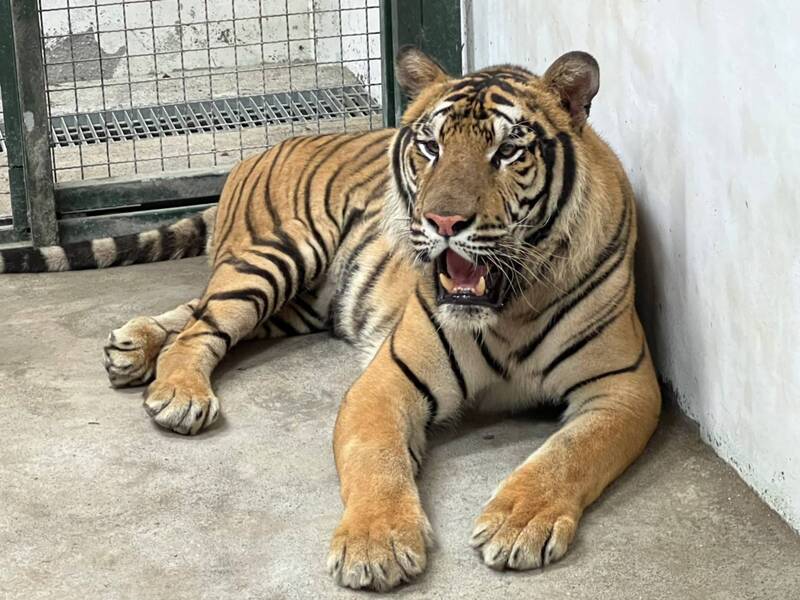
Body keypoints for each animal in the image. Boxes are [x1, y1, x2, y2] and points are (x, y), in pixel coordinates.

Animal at [0, 47, 661, 591]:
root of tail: (257, 152)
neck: (506, 307)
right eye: (431, 147)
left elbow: (571, 452)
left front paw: (518, 522)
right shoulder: (389, 378)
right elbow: (377, 460)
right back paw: (177, 392)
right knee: (202, 326)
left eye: (508, 151)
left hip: (296, 303)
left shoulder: (625, 387)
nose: (443, 222)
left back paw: (132, 349)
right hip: (279, 254)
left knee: (197, 316)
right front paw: (375, 545)